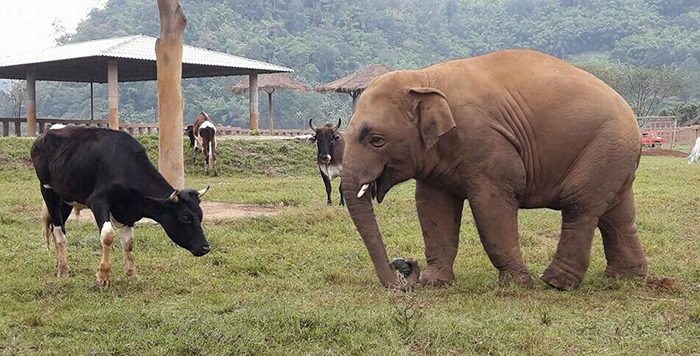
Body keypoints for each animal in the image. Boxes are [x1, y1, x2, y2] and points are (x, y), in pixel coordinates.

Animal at [31, 125, 211, 286]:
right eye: (185, 218)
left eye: (200, 216)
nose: (205, 248)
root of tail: (43, 135)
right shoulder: (98, 201)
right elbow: (107, 236)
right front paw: (103, 276)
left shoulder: (128, 212)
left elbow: (128, 242)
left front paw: (132, 274)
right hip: (48, 191)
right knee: (59, 232)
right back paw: (62, 269)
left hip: (66, 199)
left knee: (57, 228)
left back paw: (61, 264)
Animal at [342, 48, 648, 290]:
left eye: (376, 140)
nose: (404, 264)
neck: (423, 78)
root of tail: (633, 120)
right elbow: (433, 208)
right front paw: (434, 282)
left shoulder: (487, 143)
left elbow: (491, 205)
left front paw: (516, 284)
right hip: (613, 156)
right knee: (617, 215)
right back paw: (625, 279)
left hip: (604, 146)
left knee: (579, 206)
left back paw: (554, 282)